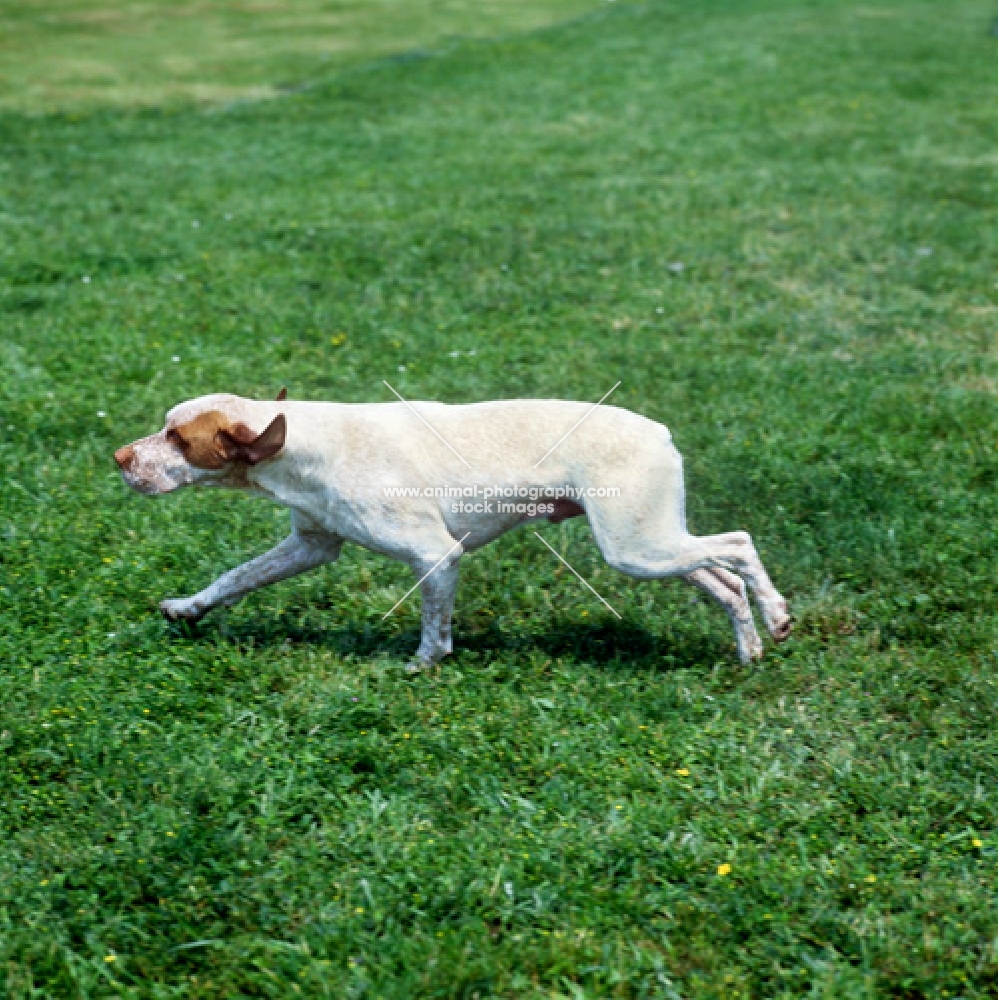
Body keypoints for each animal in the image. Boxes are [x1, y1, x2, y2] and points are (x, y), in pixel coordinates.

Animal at [115, 394, 788, 668]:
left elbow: (433, 633)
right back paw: (750, 648)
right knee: (725, 581)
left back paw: (778, 615)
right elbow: (233, 579)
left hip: (636, 547)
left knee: (740, 545)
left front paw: (421, 666)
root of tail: (660, 431)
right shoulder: (309, 545)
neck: (302, 444)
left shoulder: (436, 555)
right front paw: (188, 607)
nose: (119, 457)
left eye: (178, 439)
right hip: (652, 544)